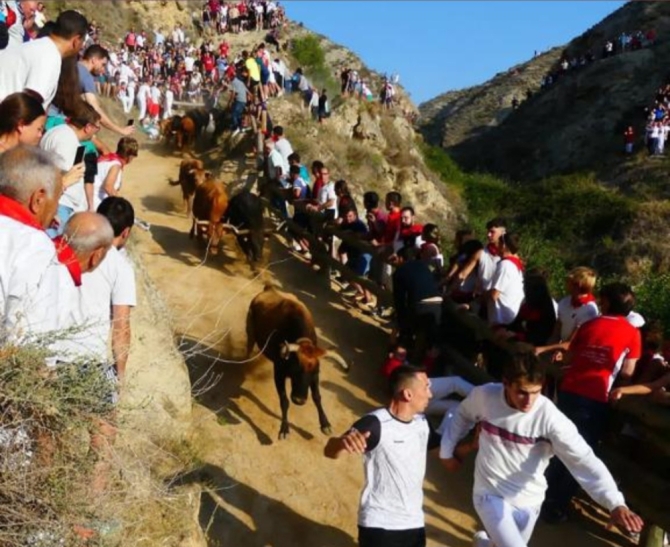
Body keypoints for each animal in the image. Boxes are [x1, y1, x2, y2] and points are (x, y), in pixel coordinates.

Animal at [245, 284, 332, 438]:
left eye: (315, 370)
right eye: (296, 368)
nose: (299, 400)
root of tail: (269, 288)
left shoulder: (315, 377)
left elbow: (317, 397)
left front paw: (325, 424)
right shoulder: (279, 373)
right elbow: (284, 401)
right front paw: (284, 429)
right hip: (250, 331)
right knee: (249, 346)